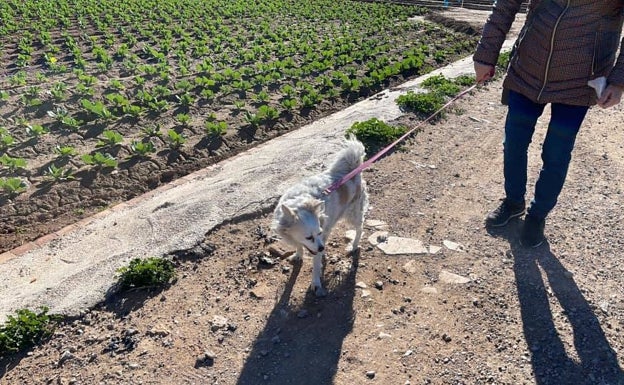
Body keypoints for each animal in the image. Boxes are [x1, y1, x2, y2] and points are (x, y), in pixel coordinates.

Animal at [270, 136, 368, 296]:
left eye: (318, 233)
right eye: (309, 237)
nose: (322, 248)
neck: (302, 202)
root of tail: (352, 168)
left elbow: (316, 265)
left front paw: (316, 283)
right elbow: (299, 246)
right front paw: (298, 255)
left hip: (354, 214)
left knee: (360, 229)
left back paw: (353, 246)